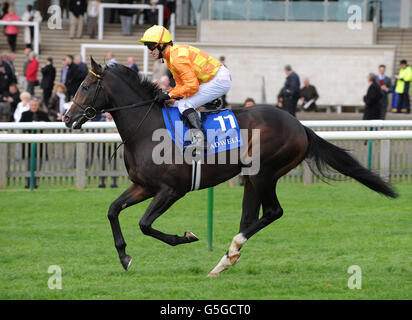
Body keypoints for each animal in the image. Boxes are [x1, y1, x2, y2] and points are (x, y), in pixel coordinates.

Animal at [63, 58, 396, 278]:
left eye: (86, 85)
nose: (66, 118)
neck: (147, 129)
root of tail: (299, 125)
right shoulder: (144, 186)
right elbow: (113, 211)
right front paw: (123, 256)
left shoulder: (172, 190)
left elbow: (145, 224)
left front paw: (186, 237)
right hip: (251, 177)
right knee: (250, 216)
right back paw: (225, 260)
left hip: (264, 172)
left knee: (272, 212)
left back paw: (231, 251)